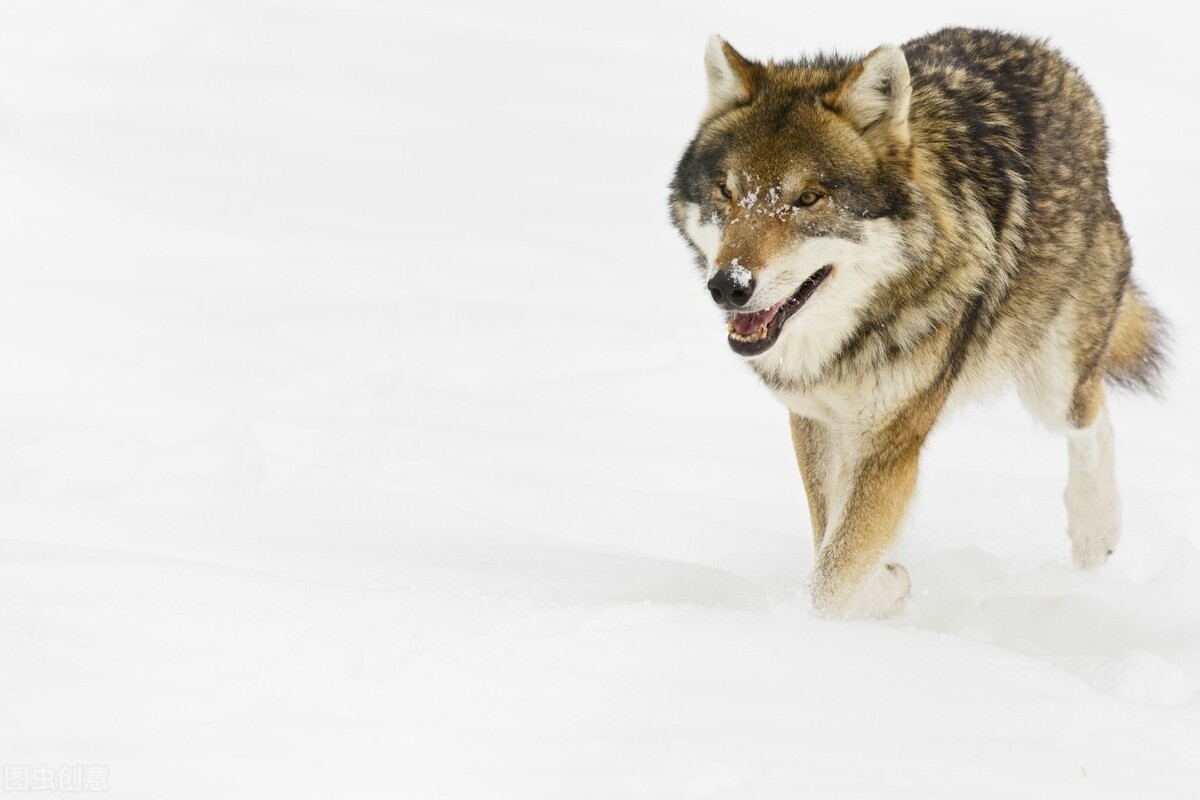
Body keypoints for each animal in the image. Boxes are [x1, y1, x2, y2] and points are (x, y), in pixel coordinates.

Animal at [667, 23, 1161, 614]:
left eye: (808, 198)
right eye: (727, 192)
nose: (729, 286)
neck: (850, 341)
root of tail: (1044, 53)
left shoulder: (893, 440)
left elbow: (835, 571)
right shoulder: (815, 419)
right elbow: (832, 536)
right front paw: (886, 586)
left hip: (1052, 377)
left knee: (1092, 415)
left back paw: (1095, 534)